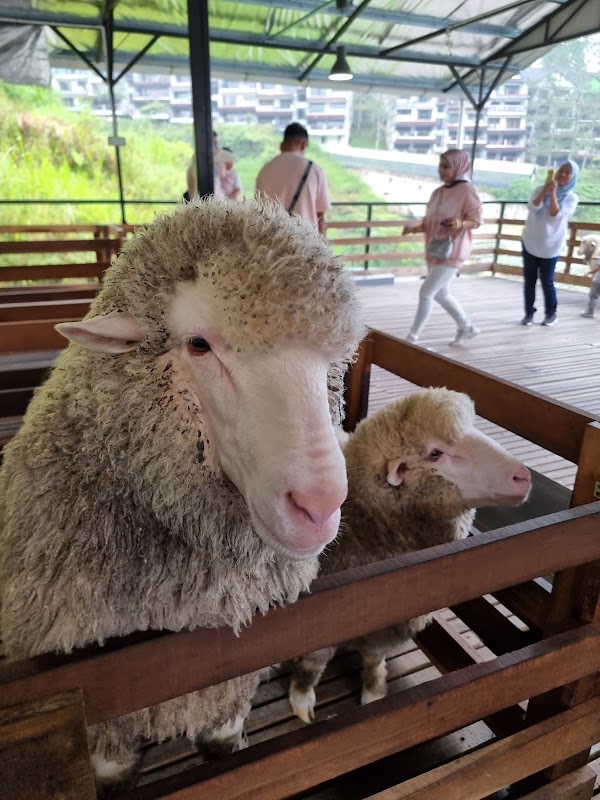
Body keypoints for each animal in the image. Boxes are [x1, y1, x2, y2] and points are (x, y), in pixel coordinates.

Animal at [0, 197, 364, 793]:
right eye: (198, 344)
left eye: (335, 359)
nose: (318, 506)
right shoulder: (105, 725)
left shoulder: (227, 691)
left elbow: (222, 747)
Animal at [289, 388, 531, 722]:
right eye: (435, 454)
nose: (524, 477)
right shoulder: (316, 623)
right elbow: (313, 663)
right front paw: (301, 698)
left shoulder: (388, 624)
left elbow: (374, 658)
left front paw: (374, 692)